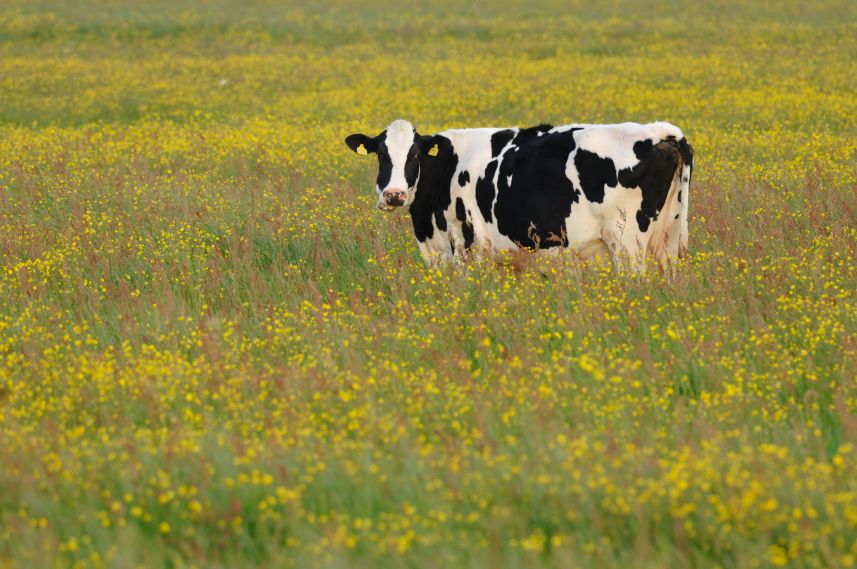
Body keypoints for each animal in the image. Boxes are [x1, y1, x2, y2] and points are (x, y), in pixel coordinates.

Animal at [345, 119, 693, 271]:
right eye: (381, 155)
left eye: (415, 155)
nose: (393, 195)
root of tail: (659, 130)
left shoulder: (466, 250)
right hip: (669, 239)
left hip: (628, 244)